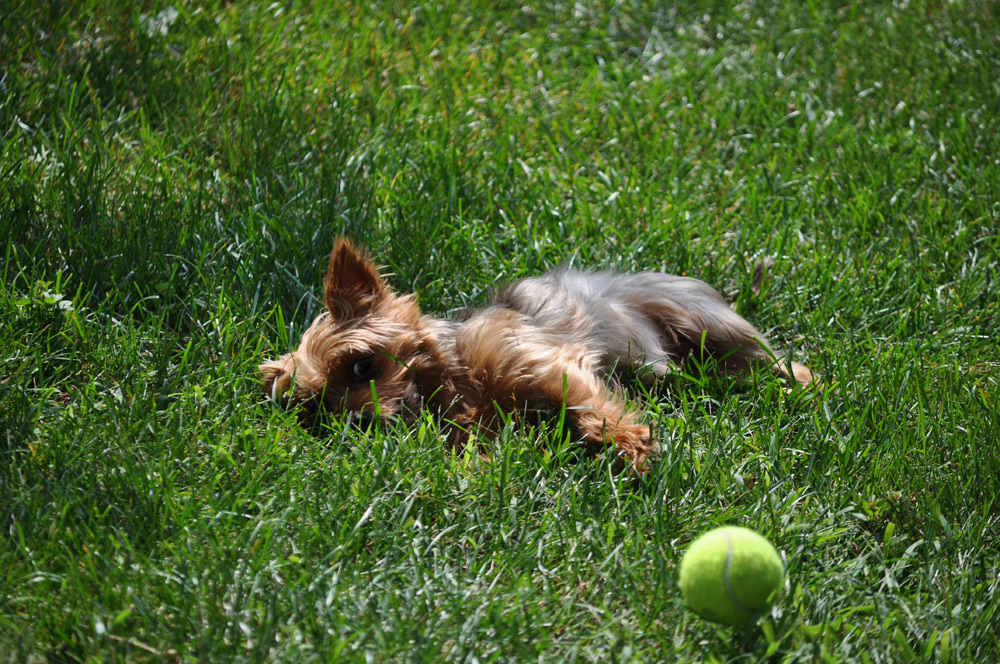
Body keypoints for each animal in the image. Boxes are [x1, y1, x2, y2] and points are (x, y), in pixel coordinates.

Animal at [260, 239, 812, 466]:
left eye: (361, 364)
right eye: (319, 411)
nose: (359, 424)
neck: (453, 375)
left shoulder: (544, 362)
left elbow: (590, 401)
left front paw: (630, 445)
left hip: (703, 322)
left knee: (774, 359)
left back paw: (803, 385)